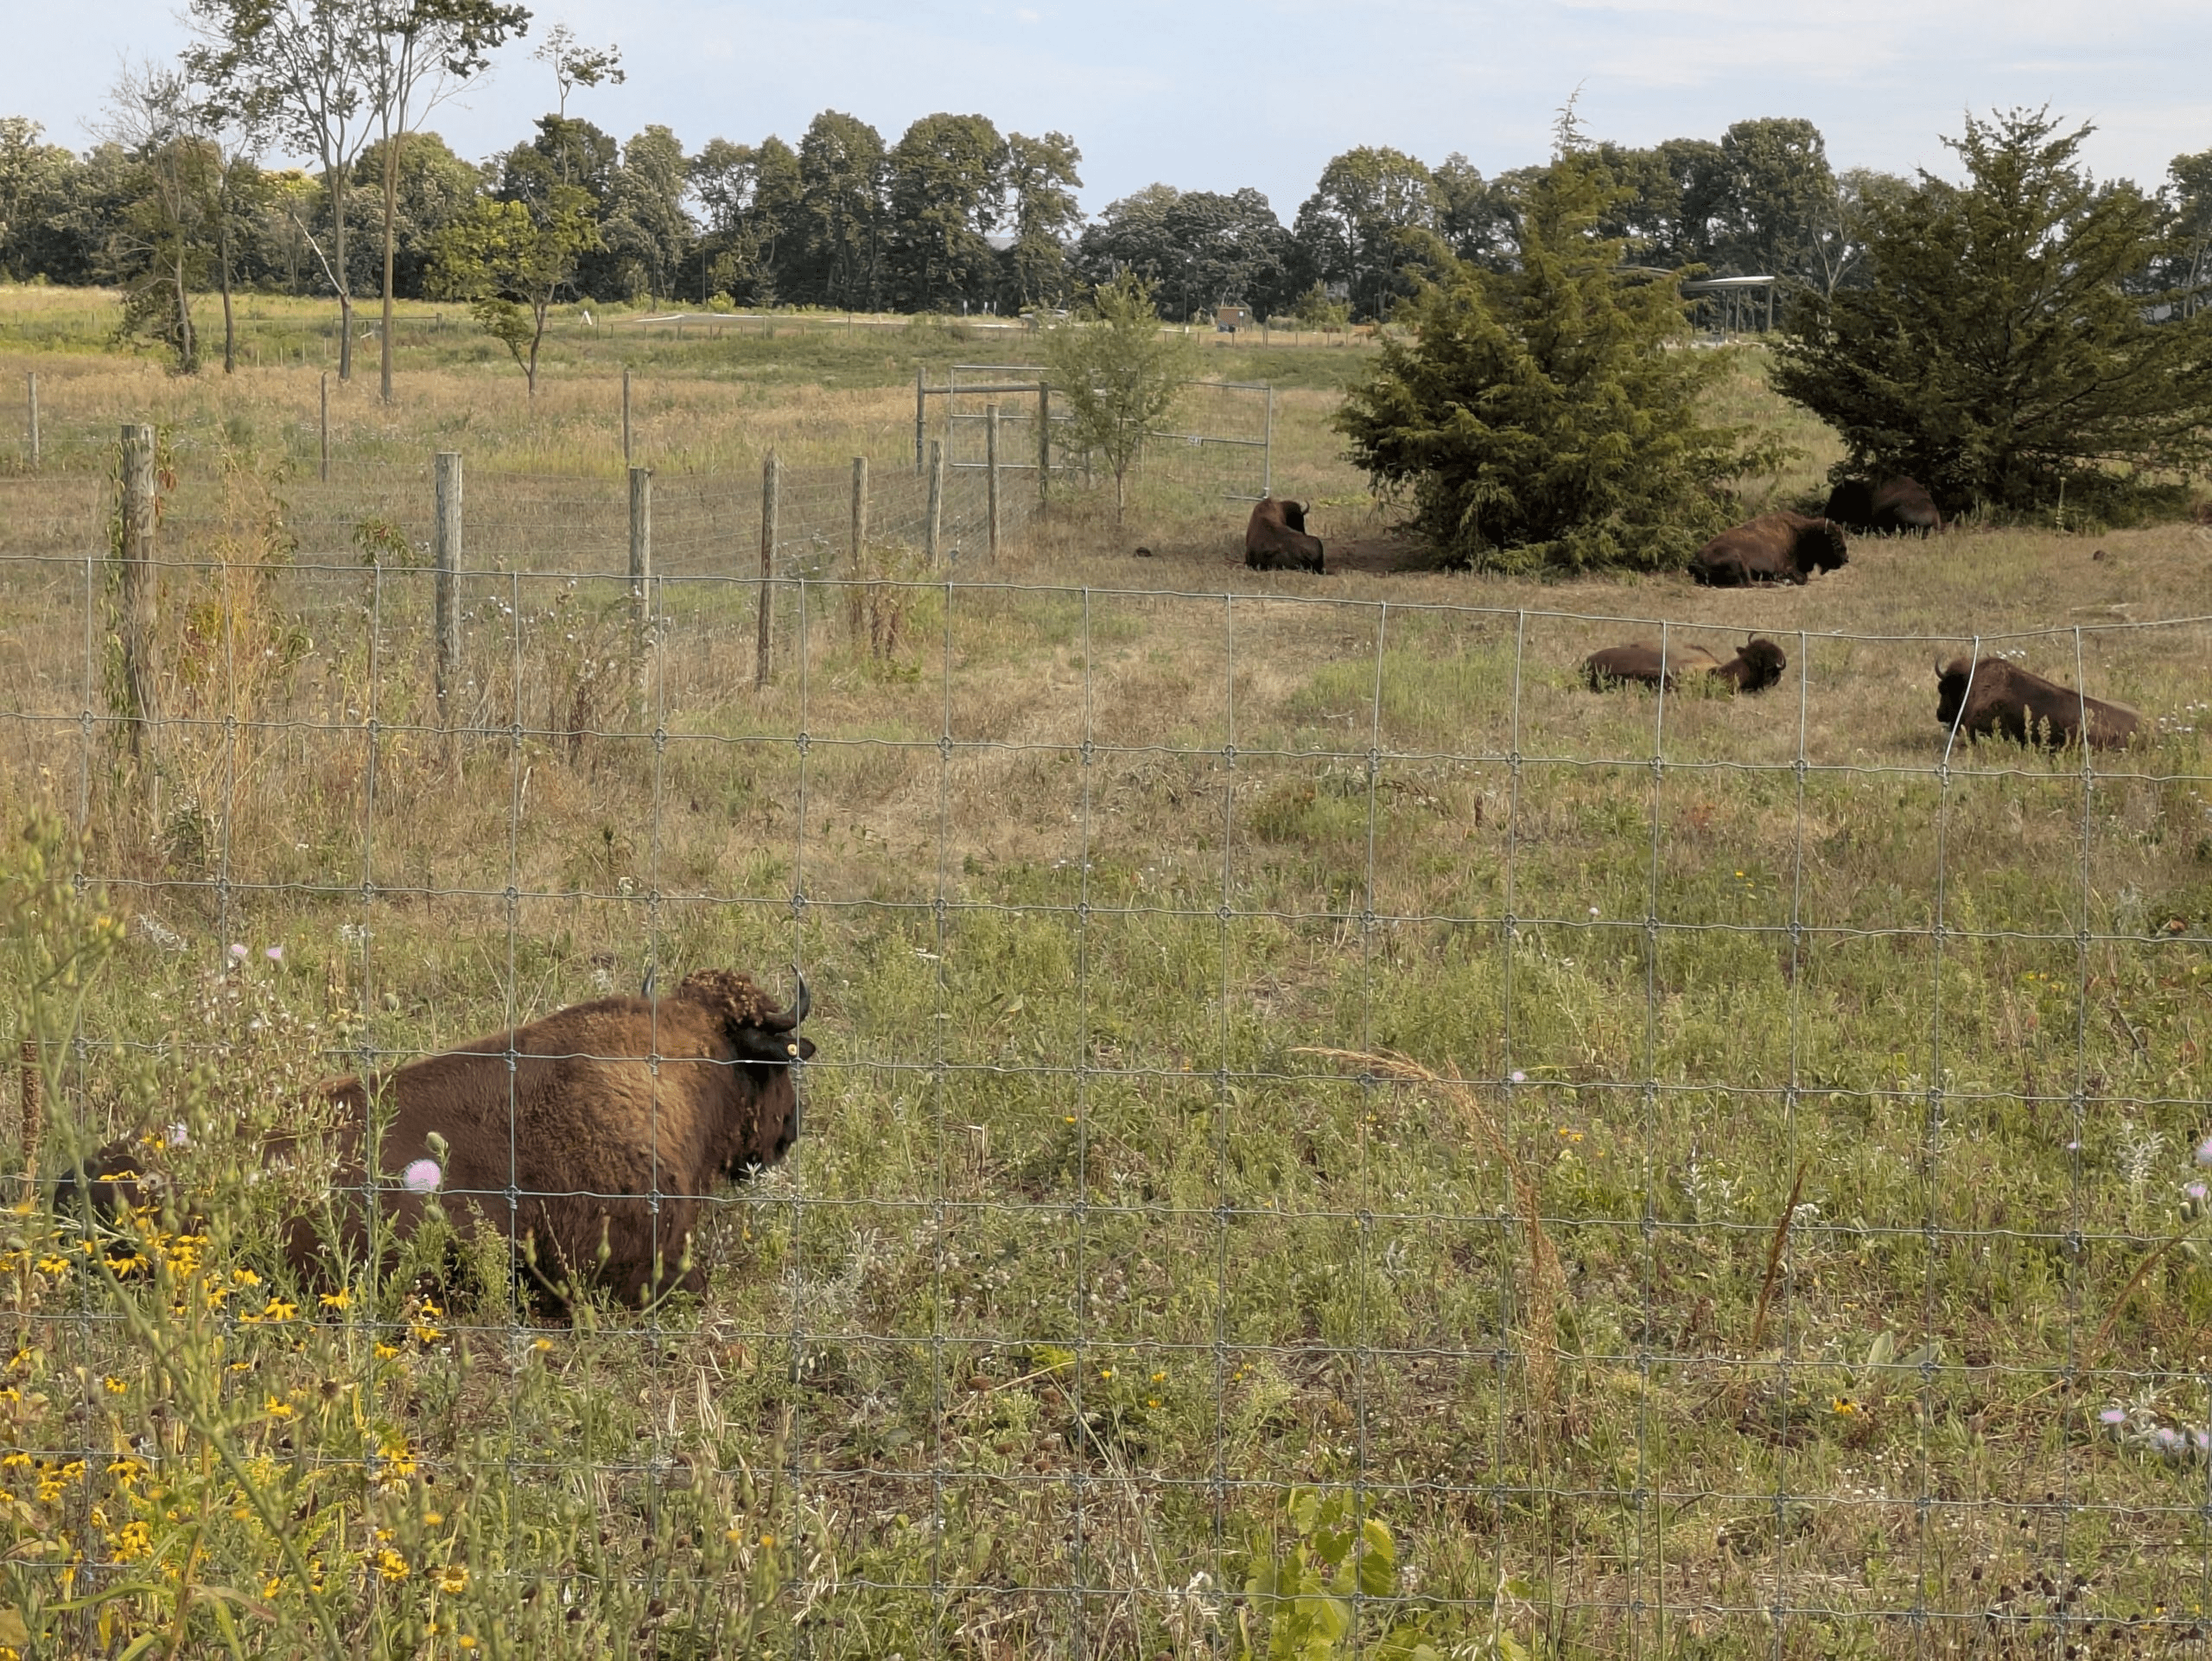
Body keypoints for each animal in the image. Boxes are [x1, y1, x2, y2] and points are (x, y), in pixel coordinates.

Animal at [1690, 512, 1849, 587]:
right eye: (1834, 541)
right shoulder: (1785, 568)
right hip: (1738, 561)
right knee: (1750, 583)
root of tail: (1693, 562)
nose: (1846, 559)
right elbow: (1802, 578)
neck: (1802, 535)